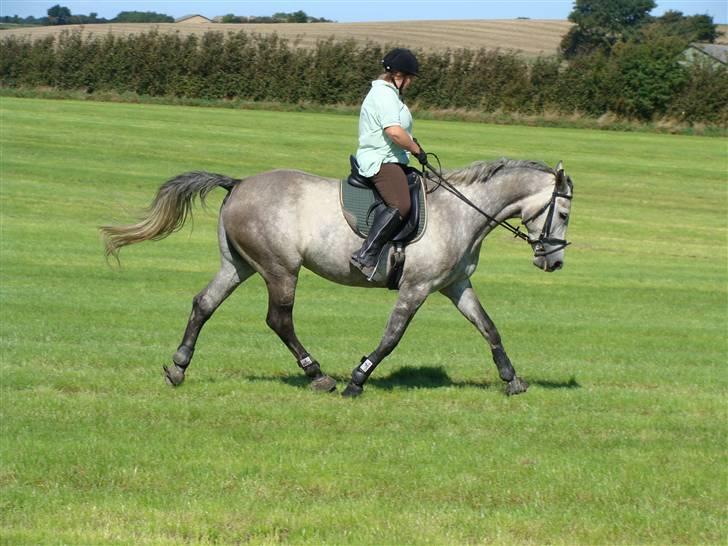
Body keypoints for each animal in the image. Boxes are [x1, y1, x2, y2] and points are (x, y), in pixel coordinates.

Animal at [99, 157, 572, 396]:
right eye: (564, 214)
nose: (554, 263)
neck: (460, 210)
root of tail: (238, 183)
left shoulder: (455, 285)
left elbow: (489, 327)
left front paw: (512, 380)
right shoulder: (416, 287)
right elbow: (391, 337)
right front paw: (358, 379)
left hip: (239, 265)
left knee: (204, 304)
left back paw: (179, 368)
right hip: (280, 268)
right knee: (279, 319)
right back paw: (318, 376)